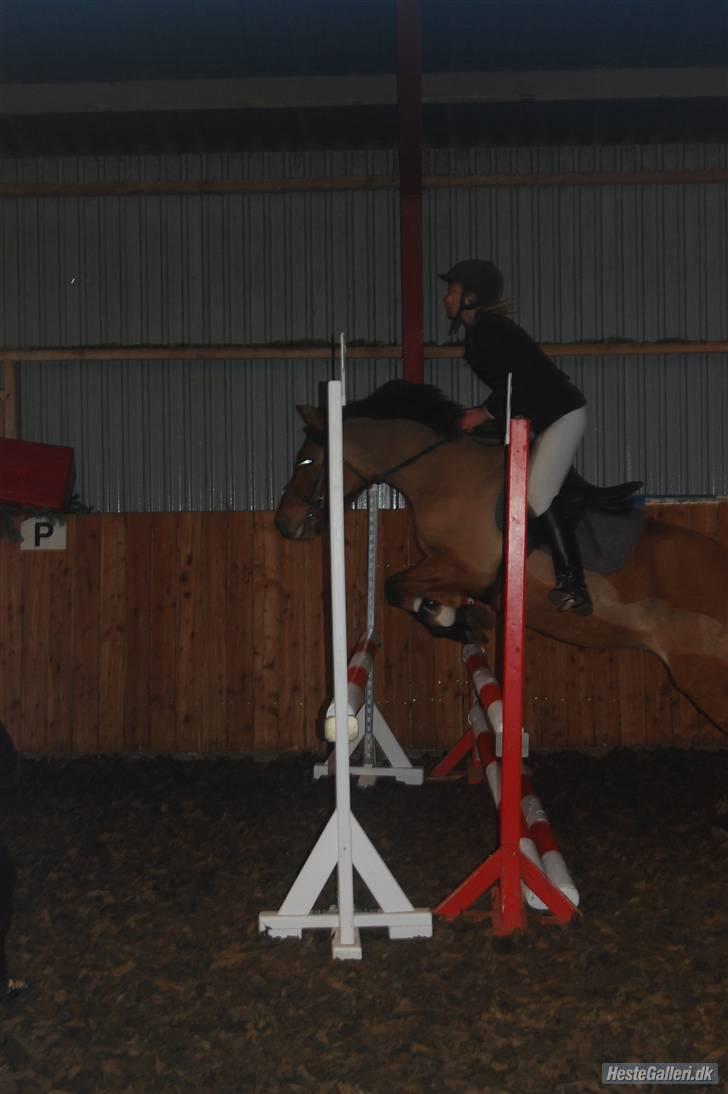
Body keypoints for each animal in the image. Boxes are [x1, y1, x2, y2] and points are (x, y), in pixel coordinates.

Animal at [275, 380, 728, 737]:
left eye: (305, 460)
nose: (284, 523)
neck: (443, 474)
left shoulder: (466, 566)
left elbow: (393, 586)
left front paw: (453, 619)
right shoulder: (446, 569)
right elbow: (408, 592)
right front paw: (455, 618)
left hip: (703, 676)